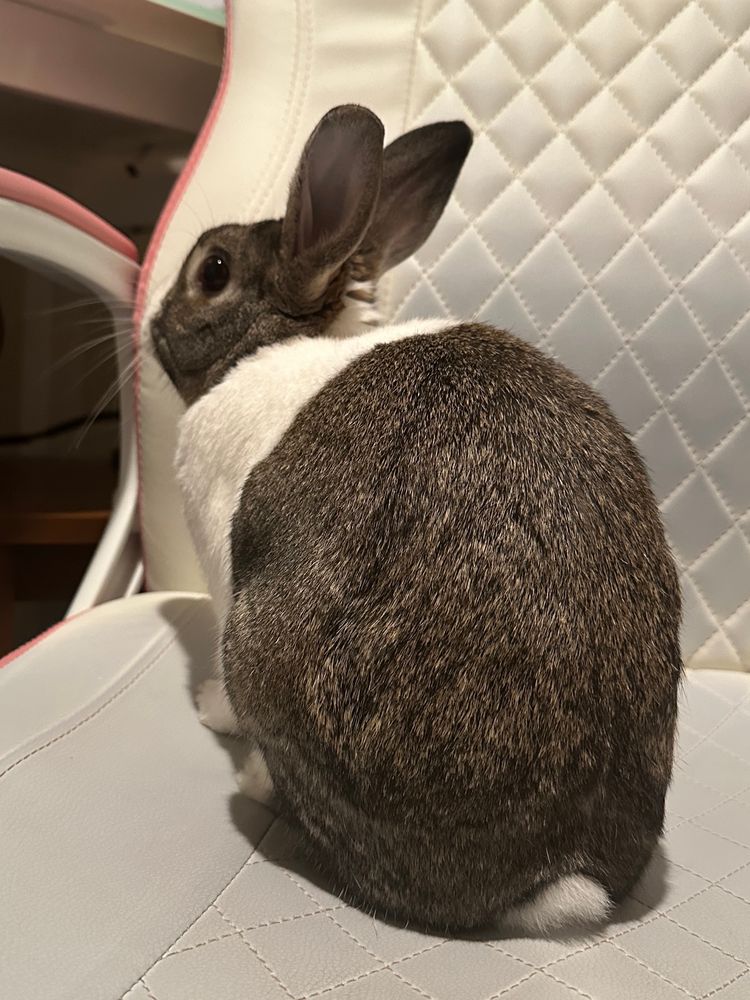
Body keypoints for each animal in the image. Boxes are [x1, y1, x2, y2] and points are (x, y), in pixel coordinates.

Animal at [150, 104, 682, 934]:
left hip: (257, 647)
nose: (149, 321)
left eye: (212, 270)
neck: (290, 337)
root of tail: (558, 872)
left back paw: (249, 776)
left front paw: (208, 711)